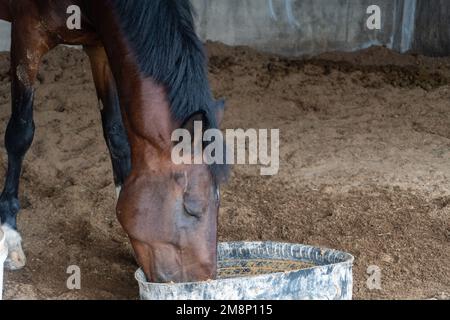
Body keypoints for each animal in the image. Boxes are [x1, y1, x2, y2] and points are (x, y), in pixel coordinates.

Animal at [0, 0, 225, 284]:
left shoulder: (101, 45)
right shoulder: (27, 34)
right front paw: (10, 234)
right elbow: (20, 134)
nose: (203, 280)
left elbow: (116, 134)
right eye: (190, 207)